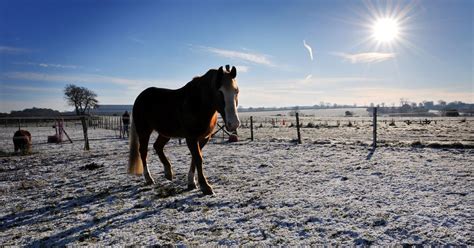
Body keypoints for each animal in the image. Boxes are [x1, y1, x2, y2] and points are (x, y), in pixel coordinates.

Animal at [129, 65, 241, 195]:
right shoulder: (191, 138)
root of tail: (140, 97)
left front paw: (191, 182)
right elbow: (198, 158)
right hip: (144, 132)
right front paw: (205, 186)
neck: (198, 103)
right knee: (143, 152)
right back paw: (149, 178)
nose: (234, 124)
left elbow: (195, 158)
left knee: (158, 146)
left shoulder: (203, 138)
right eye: (220, 92)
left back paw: (168, 172)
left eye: (236, 91)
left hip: (166, 133)